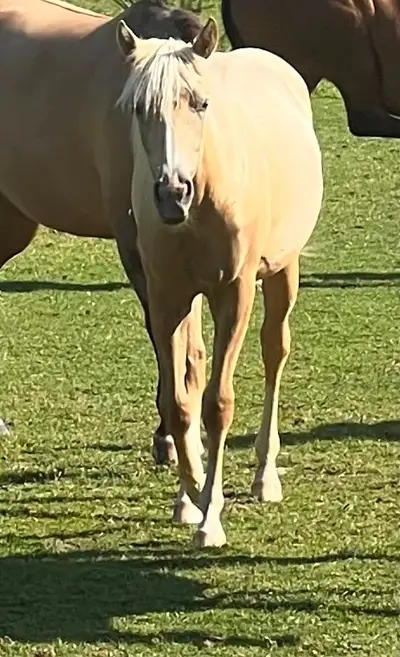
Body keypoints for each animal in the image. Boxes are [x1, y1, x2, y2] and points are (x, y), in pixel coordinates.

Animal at [116, 17, 324, 546]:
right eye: (139, 109)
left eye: (200, 103)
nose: (173, 193)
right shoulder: (168, 297)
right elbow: (179, 402)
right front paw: (190, 493)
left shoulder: (234, 294)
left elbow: (217, 404)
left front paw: (211, 515)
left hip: (282, 272)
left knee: (274, 351)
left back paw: (265, 477)